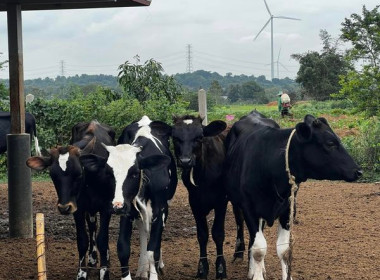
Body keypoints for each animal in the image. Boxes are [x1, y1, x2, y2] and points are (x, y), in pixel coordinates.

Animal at [26, 121, 115, 280]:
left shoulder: (106, 207)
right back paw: (92, 259)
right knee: (92, 226)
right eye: (53, 175)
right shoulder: (78, 208)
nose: (63, 207)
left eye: (78, 173)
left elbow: (103, 239)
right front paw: (82, 273)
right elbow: (82, 240)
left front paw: (104, 272)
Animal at [80, 115, 178, 280]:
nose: (117, 205)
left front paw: (154, 272)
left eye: (134, 173)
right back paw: (142, 270)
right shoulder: (127, 210)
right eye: (109, 173)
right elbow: (123, 249)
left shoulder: (161, 209)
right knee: (143, 232)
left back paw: (158, 266)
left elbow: (153, 250)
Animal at [171, 115, 232, 278]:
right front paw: (202, 268)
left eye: (199, 137)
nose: (185, 161)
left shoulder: (221, 201)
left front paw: (221, 268)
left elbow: (218, 233)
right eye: (175, 138)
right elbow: (202, 235)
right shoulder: (194, 202)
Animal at [226, 114, 362, 280]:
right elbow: (259, 249)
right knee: (241, 226)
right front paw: (257, 275)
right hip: (236, 203)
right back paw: (241, 257)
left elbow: (284, 250)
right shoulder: (249, 208)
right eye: (330, 143)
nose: (358, 171)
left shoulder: (288, 209)